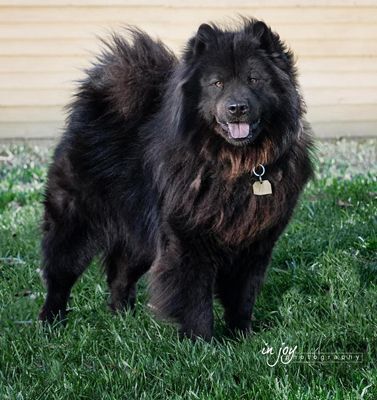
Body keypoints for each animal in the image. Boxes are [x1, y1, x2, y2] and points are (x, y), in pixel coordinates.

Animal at [39, 19, 312, 340]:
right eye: (217, 83)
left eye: (254, 79)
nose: (237, 107)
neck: (235, 165)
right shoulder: (188, 240)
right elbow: (195, 298)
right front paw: (201, 341)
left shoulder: (253, 244)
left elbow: (243, 296)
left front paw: (241, 336)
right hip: (76, 223)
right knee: (59, 276)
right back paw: (51, 322)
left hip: (140, 234)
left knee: (120, 275)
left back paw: (123, 318)